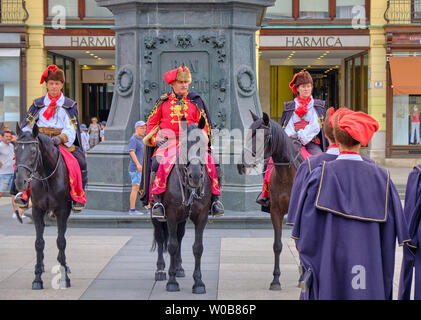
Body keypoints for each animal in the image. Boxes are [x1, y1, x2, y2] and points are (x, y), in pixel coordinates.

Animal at [14, 124, 72, 290]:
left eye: (34, 151)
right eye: (15, 149)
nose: (20, 181)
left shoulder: (62, 211)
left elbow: (61, 241)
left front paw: (64, 277)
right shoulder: (37, 210)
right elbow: (39, 243)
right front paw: (37, 278)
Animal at [151, 116, 212, 294]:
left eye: (204, 144)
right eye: (184, 144)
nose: (196, 176)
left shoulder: (201, 216)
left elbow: (197, 247)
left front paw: (198, 282)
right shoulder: (170, 214)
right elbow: (171, 245)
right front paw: (172, 282)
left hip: (183, 218)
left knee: (179, 236)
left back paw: (178, 268)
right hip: (156, 215)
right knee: (160, 236)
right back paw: (161, 270)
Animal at [236, 111, 302, 292]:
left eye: (261, 137)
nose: (241, 164)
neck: (286, 175)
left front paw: (303, 277)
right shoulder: (276, 212)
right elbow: (277, 245)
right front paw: (276, 280)